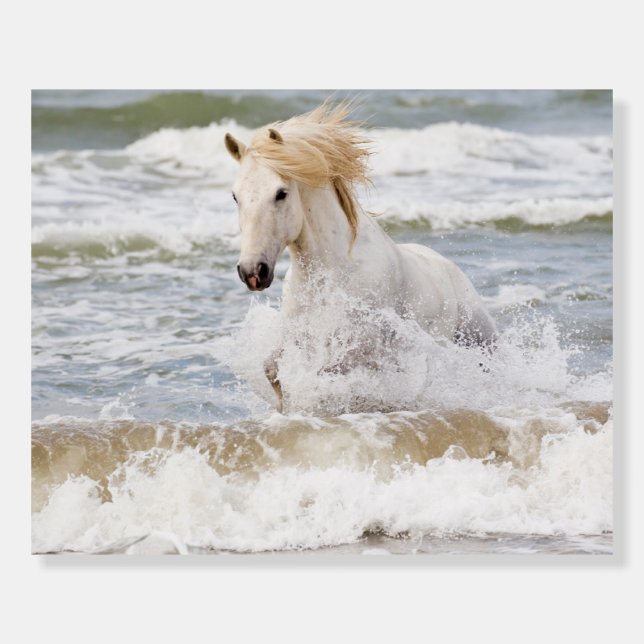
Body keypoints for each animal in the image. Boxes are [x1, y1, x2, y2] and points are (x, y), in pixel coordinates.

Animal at [224, 102, 496, 412]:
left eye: (281, 193)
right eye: (235, 196)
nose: (252, 272)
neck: (334, 271)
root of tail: (450, 268)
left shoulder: (363, 346)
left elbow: (327, 374)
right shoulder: (299, 333)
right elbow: (271, 368)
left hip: (479, 340)